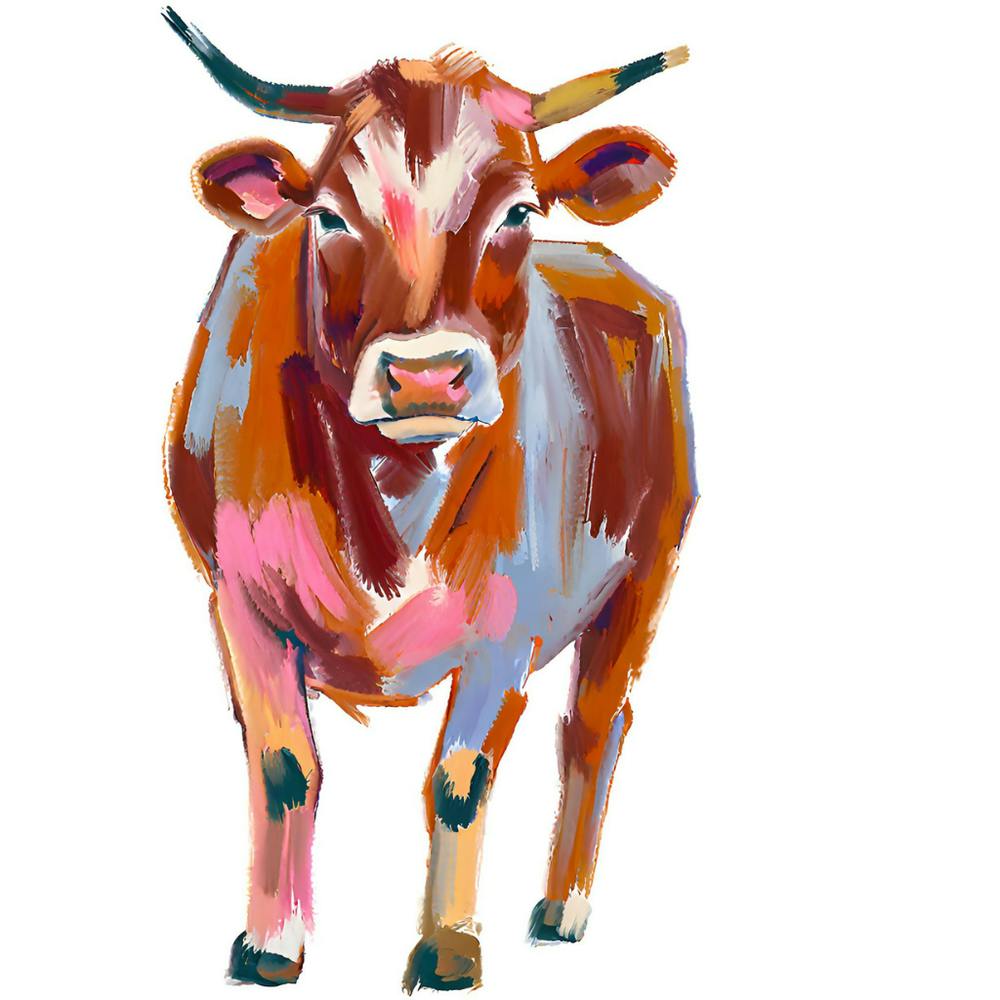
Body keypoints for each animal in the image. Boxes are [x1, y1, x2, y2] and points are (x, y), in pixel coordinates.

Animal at [162, 7, 697, 991]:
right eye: (330, 212)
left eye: (519, 209)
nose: (425, 377)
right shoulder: (240, 599)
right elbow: (284, 764)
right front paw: (271, 946)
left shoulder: (512, 623)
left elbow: (461, 778)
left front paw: (448, 947)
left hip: (647, 572)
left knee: (594, 723)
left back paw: (563, 908)